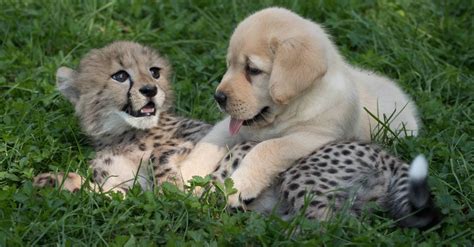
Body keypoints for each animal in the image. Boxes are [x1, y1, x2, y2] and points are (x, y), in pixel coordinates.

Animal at [179, 7, 418, 207]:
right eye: (229, 65)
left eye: (252, 70)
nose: (218, 97)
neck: (290, 109)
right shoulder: (235, 126)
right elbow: (209, 142)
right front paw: (185, 174)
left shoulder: (314, 136)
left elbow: (268, 148)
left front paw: (240, 185)